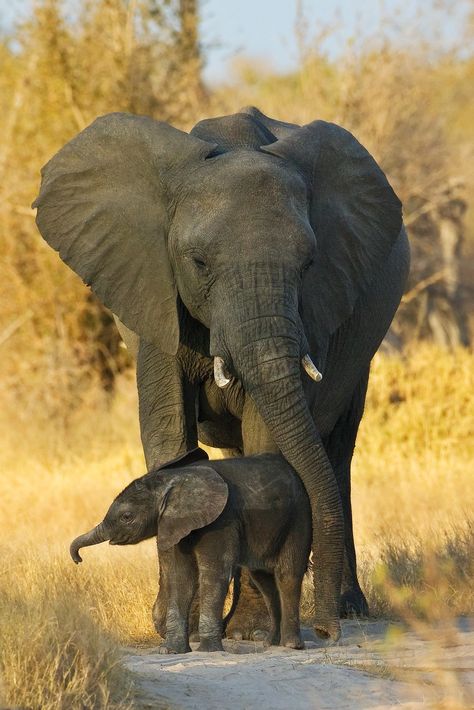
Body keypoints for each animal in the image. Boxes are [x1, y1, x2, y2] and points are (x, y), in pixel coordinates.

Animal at [70, 454, 312, 652]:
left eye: (127, 517)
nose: (77, 559)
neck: (172, 480)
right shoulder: (175, 524)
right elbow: (181, 578)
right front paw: (170, 651)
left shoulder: (221, 520)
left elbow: (214, 573)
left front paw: (208, 651)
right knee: (264, 580)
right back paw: (271, 643)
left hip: (299, 517)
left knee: (287, 574)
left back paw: (291, 645)